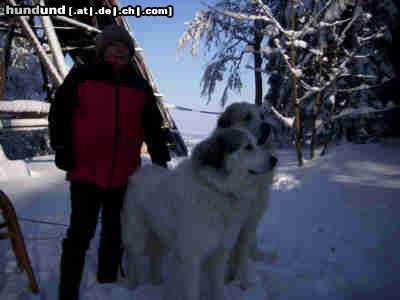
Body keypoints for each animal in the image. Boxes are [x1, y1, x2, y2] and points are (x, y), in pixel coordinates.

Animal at [121, 127, 278, 300]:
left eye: (256, 143)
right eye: (248, 147)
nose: (274, 160)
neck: (216, 189)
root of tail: (140, 171)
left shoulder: (220, 253)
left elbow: (218, 287)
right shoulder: (192, 257)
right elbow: (192, 292)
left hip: (161, 237)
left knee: (155, 258)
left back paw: (157, 284)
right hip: (137, 236)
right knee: (132, 260)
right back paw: (132, 288)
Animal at [216, 101, 278, 286]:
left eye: (262, 116)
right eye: (247, 116)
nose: (267, 126)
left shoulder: (250, 220)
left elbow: (241, 252)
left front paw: (240, 279)